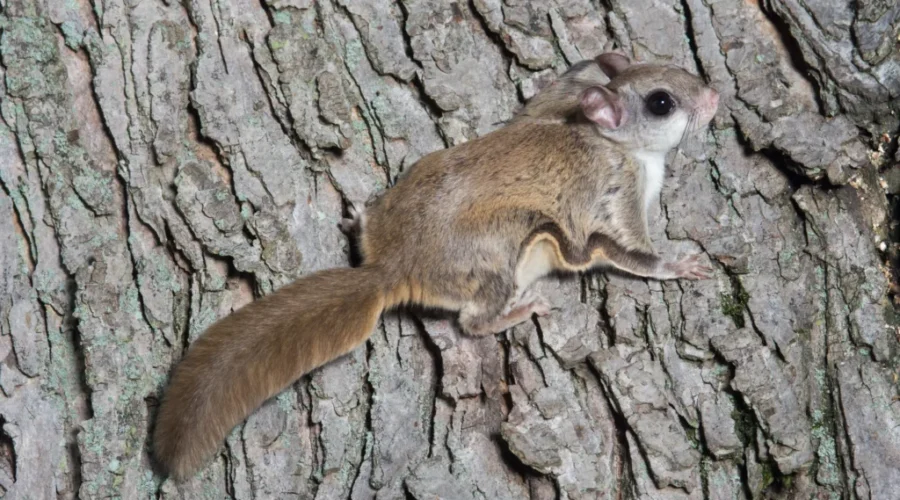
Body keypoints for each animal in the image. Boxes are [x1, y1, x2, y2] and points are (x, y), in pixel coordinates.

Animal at [153, 53, 720, 481]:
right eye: (662, 102)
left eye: (670, 65)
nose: (715, 97)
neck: (611, 142)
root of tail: (392, 268)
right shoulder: (614, 198)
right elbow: (631, 253)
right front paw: (679, 265)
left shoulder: (557, 102)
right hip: (502, 252)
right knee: (473, 321)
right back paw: (517, 310)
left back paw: (357, 217)